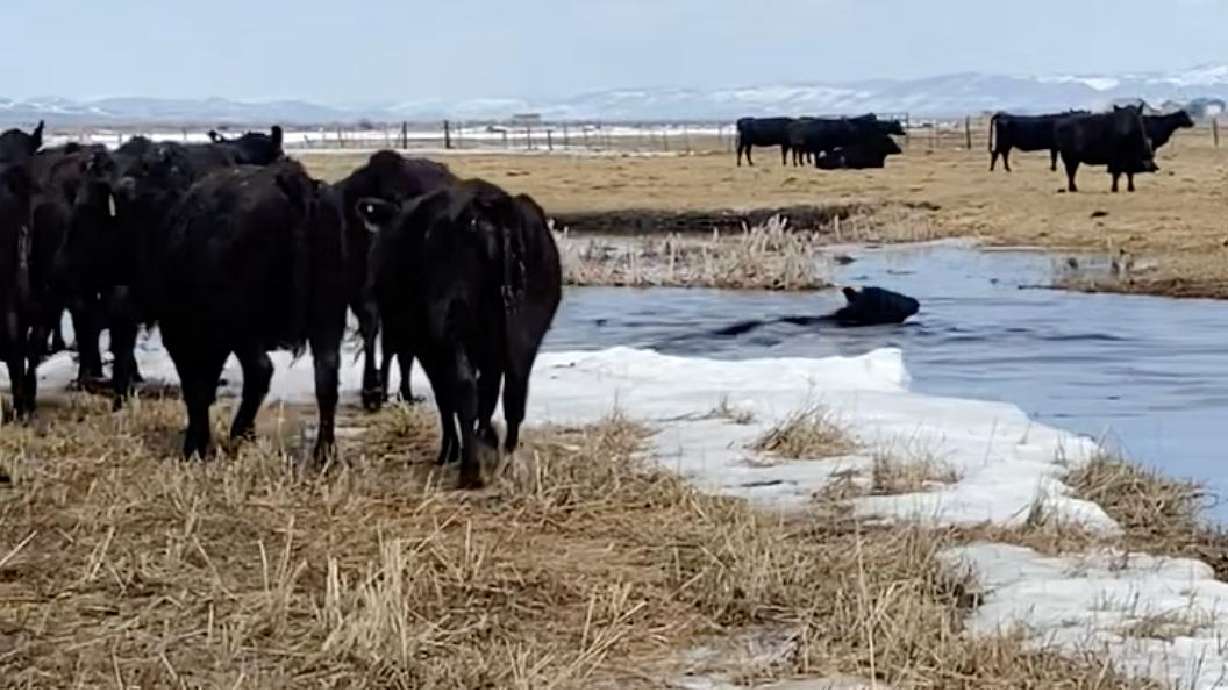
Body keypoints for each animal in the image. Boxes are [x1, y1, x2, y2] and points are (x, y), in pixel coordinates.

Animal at [157, 161, 346, 461]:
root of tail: (289, 178)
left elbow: (196, 388)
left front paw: (196, 446)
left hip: (243, 328)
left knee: (259, 371)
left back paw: (239, 435)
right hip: (327, 318)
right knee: (326, 376)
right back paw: (323, 453)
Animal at [357, 179, 562, 489]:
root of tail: (488, 205)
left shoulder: (428, 346)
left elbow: (446, 396)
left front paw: (452, 449)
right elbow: (488, 392)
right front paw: (486, 439)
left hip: (450, 326)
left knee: (464, 390)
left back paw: (471, 468)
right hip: (524, 331)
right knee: (513, 393)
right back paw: (507, 457)